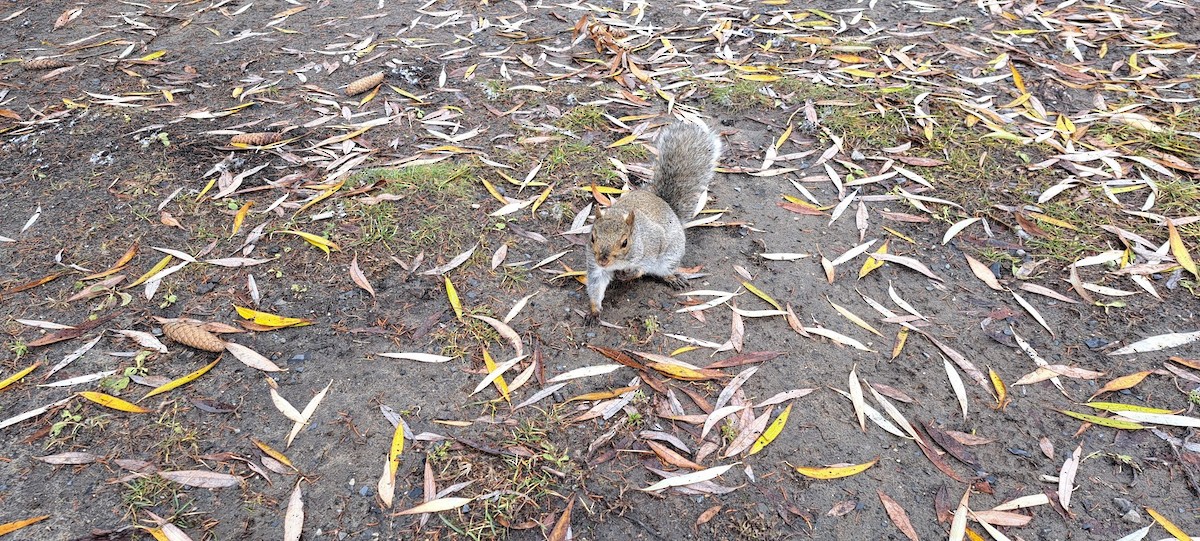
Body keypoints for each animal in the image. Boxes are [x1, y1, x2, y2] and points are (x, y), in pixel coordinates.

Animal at [585, 119, 722, 323]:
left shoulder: (653, 244)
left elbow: (643, 267)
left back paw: (672, 278)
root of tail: (665, 204)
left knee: (663, 270)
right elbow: (596, 285)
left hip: (670, 255)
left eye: (625, 242)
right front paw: (594, 310)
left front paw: (631, 273)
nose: (603, 260)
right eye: (593, 238)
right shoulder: (595, 266)